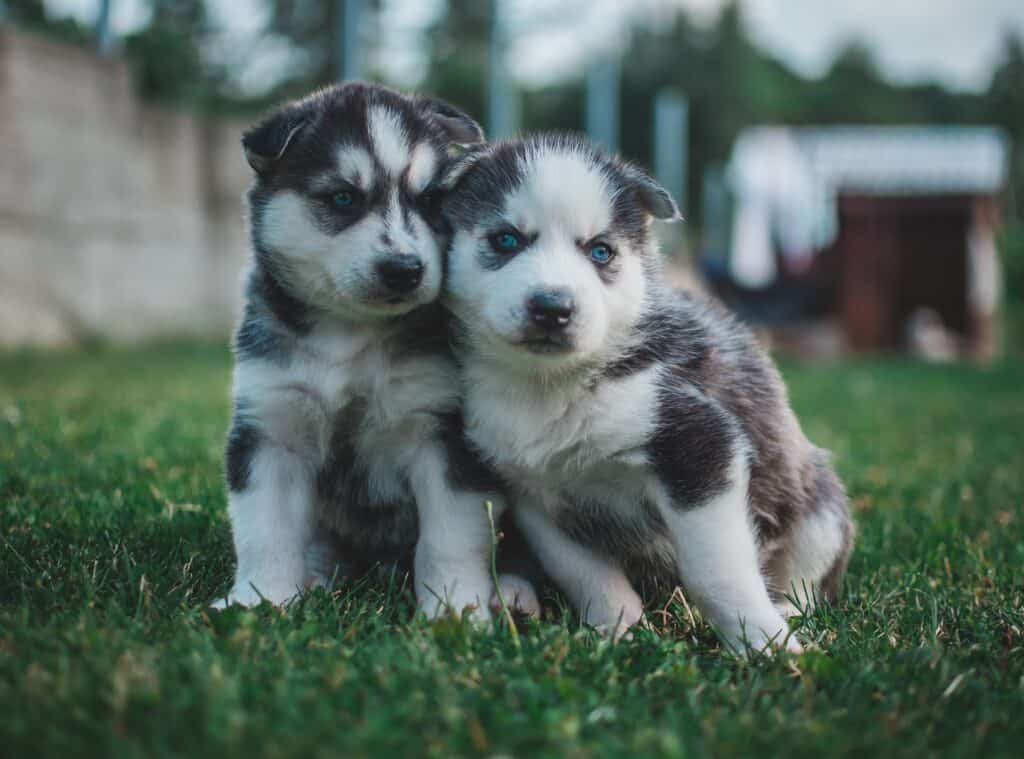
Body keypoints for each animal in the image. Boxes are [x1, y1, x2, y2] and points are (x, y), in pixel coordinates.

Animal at [218, 82, 520, 618]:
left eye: (429, 200)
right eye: (343, 198)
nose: (405, 269)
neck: (350, 335)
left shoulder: (441, 431)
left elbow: (449, 539)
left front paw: (455, 610)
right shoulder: (271, 426)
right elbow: (265, 532)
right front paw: (259, 602)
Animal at [444, 135, 851, 647]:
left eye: (600, 252)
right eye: (506, 240)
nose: (553, 308)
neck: (549, 386)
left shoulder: (700, 446)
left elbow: (716, 571)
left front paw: (764, 643)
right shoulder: (536, 494)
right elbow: (583, 572)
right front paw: (615, 630)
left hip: (819, 507)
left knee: (809, 577)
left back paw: (788, 612)